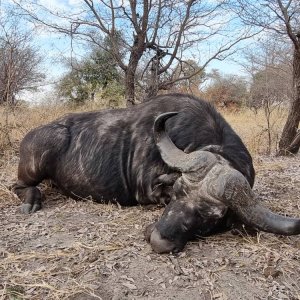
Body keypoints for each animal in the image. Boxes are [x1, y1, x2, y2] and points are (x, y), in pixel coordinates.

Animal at [12, 94, 300, 253]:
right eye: (177, 193)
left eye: (212, 216)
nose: (158, 239)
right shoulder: (148, 191)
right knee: (17, 186)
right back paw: (31, 201)